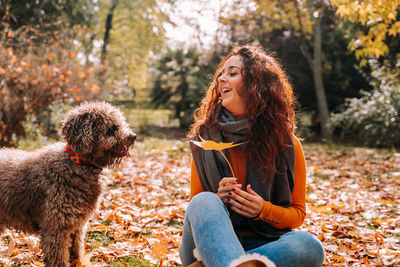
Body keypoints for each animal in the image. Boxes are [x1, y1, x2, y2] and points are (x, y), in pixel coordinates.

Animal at [0, 101, 136, 266]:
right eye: (112, 128)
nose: (133, 137)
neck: (77, 164)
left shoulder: (76, 225)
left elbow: (75, 250)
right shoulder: (56, 229)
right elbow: (58, 259)